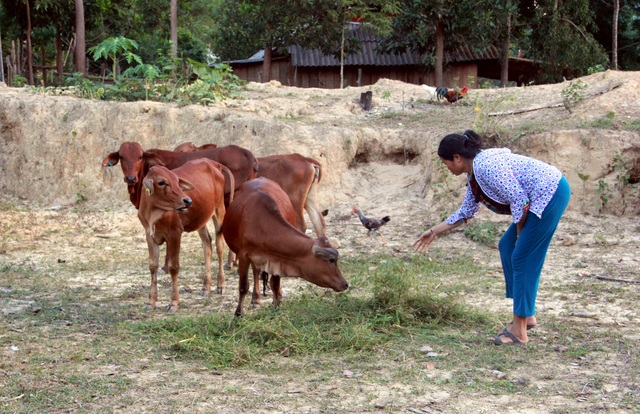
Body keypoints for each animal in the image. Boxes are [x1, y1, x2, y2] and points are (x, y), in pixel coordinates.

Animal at [138, 158, 232, 310]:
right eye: (161, 182)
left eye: (177, 181)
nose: (187, 201)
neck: (154, 214)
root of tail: (213, 163)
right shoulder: (149, 235)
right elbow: (153, 266)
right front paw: (151, 302)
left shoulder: (175, 233)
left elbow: (173, 267)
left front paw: (173, 302)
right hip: (201, 219)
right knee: (207, 243)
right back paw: (206, 287)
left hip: (219, 211)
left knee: (219, 247)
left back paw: (220, 285)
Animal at [222, 176, 348, 316]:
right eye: (331, 260)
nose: (345, 284)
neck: (261, 225)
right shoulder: (243, 255)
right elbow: (243, 286)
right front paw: (238, 313)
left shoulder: (277, 258)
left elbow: (275, 285)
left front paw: (276, 306)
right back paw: (256, 299)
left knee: (257, 271)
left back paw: (259, 298)